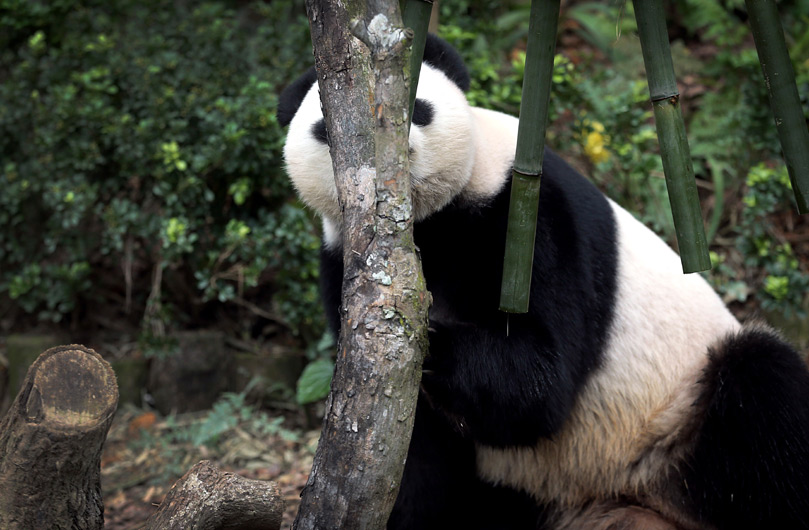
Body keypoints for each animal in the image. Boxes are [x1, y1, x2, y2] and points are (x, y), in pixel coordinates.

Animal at [276, 35, 808, 524]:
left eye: (418, 110)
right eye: (325, 131)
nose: (399, 161)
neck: (426, 225)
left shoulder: (526, 213)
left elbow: (540, 382)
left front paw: (427, 338)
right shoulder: (343, 258)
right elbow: (417, 448)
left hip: (676, 413)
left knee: (762, 392)